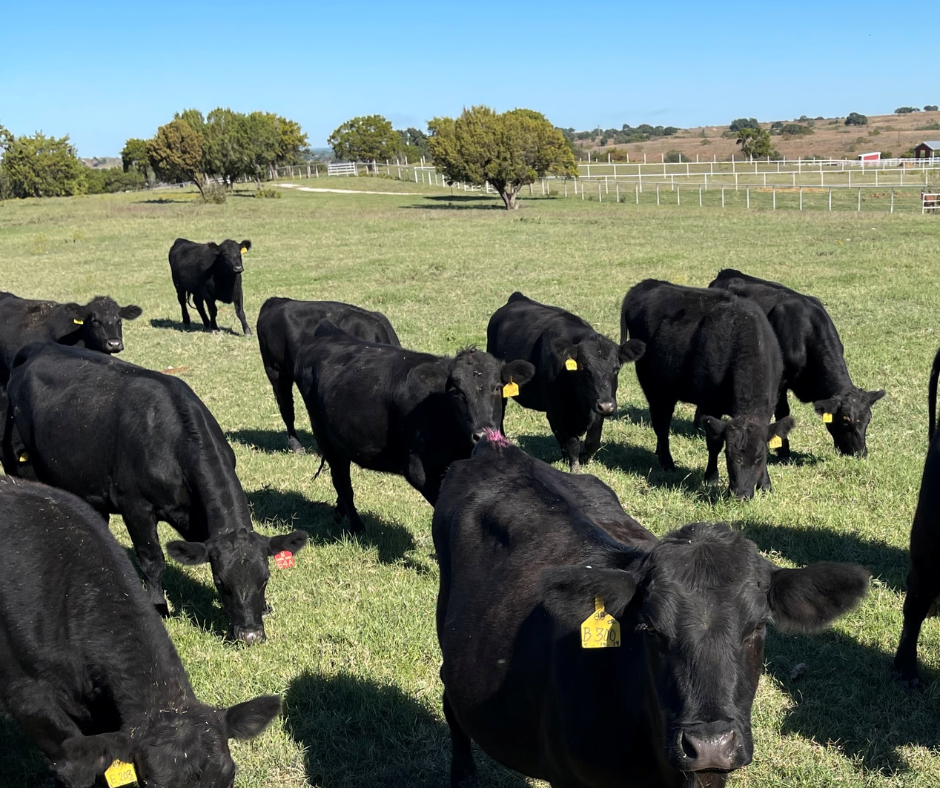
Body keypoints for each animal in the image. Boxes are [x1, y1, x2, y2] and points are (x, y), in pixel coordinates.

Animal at [3, 342, 308, 644]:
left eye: (265, 579)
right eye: (221, 583)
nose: (251, 635)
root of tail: (37, 346)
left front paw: (264, 607)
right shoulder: (135, 506)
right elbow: (152, 561)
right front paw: (159, 606)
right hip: (21, 466)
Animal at [294, 323, 535, 533]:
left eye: (497, 387)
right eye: (456, 392)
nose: (483, 434)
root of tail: (329, 334)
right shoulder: (416, 468)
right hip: (325, 438)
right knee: (342, 481)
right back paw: (357, 527)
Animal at [486, 292, 645, 471]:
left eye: (616, 368)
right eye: (585, 369)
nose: (606, 405)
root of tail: (517, 297)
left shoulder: (597, 406)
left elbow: (592, 441)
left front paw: (583, 458)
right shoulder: (559, 409)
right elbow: (572, 442)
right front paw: (575, 466)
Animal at [620, 279, 794, 500]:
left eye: (759, 458)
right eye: (730, 456)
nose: (741, 494)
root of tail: (647, 284)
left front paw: (765, 484)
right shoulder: (711, 405)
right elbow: (714, 443)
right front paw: (711, 478)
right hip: (652, 384)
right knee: (661, 424)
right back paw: (667, 463)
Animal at [709, 269, 885, 459]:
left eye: (868, 419)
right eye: (845, 421)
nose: (860, 453)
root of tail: (726, 272)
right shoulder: (781, 381)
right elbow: (782, 412)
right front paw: (783, 452)